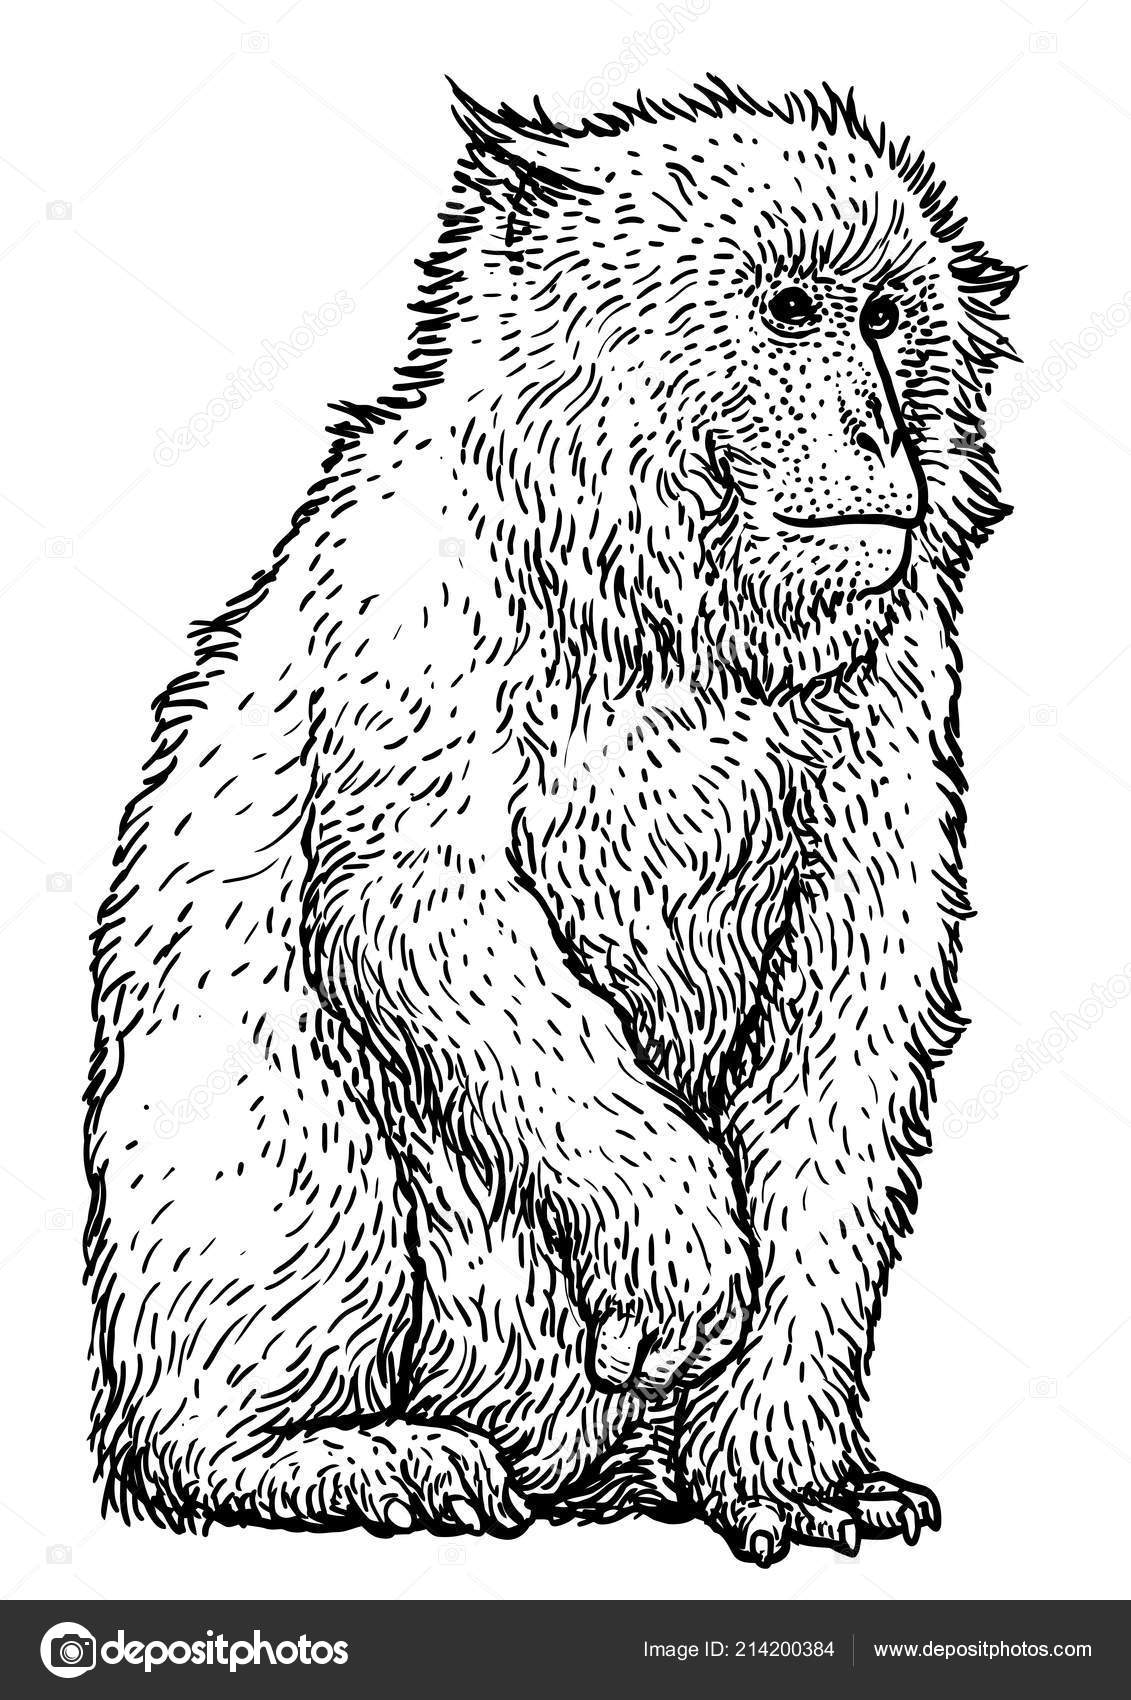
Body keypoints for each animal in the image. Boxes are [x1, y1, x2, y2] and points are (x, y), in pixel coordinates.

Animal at [84, 79, 1017, 1567]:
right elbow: (415, 900)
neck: (674, 615)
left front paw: (785, 1469)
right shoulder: (417, 582)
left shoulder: (894, 663)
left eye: (884, 314)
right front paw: (686, 1252)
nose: (877, 434)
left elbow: (855, 1003)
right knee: (286, 1078)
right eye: (794, 309)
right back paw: (308, 1451)